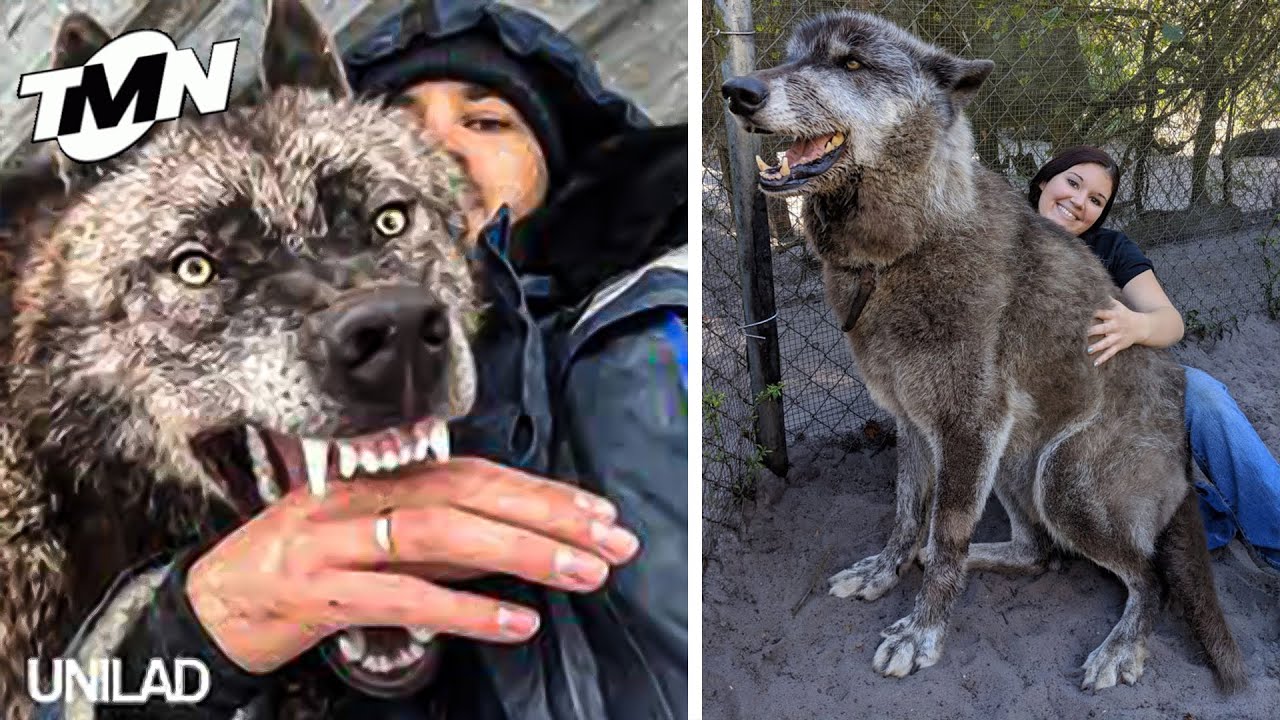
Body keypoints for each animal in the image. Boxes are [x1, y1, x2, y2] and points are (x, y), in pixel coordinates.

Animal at [723, 11, 1247, 692]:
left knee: (1149, 576)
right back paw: (977, 558)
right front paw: (885, 571)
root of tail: (1182, 464)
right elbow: (907, 514)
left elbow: (945, 534)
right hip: (1010, 465)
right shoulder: (914, 424)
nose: (736, 90)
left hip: (1061, 478)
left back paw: (1120, 646)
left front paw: (922, 633)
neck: (913, 242)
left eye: (851, 64)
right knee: (1037, 552)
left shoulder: (968, 426)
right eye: (792, 56)